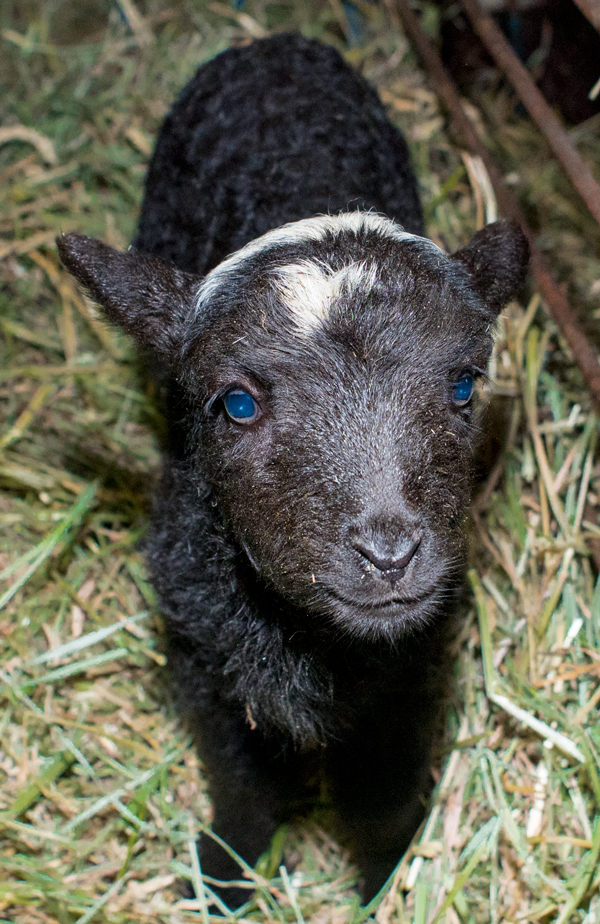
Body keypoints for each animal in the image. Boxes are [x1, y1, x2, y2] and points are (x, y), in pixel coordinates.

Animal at [57, 34, 528, 908]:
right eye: (236, 404)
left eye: (463, 385)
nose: (389, 554)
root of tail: (273, 44)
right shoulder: (203, 659)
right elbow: (240, 783)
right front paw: (225, 877)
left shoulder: (415, 669)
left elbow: (382, 796)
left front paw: (386, 880)